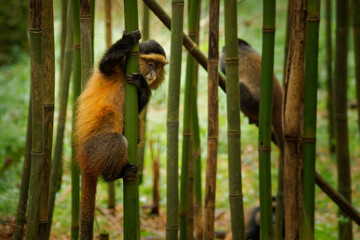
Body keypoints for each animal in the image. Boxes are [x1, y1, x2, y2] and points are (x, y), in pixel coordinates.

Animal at [75, 31, 168, 239]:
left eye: (158, 66)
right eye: (151, 64)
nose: (153, 74)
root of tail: (85, 160)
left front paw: (142, 85)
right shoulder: (114, 68)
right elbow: (105, 64)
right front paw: (128, 40)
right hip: (95, 149)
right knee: (116, 140)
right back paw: (118, 174)